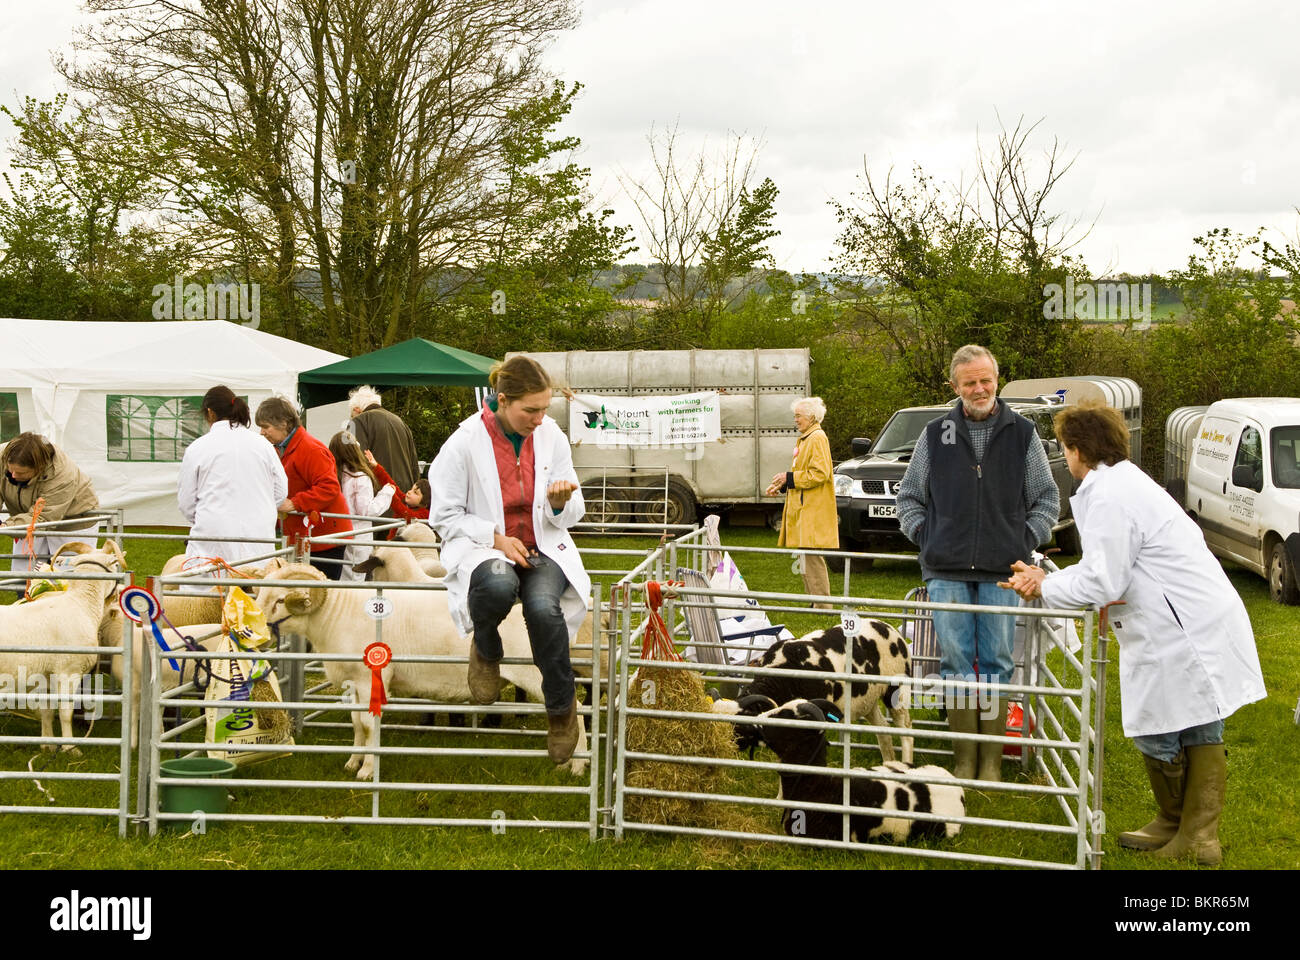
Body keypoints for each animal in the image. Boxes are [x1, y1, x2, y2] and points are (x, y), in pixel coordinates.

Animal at [0, 538, 126, 749]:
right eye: (116, 565)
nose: (117, 594)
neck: (81, 604)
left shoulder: (46, 676)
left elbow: (47, 711)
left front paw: (47, 746)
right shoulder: (69, 671)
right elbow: (65, 712)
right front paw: (70, 748)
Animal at [252, 561, 595, 780]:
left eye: (281, 600)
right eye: (261, 595)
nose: (255, 633)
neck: (336, 614)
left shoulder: (371, 677)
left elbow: (369, 724)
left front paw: (367, 771)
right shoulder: (355, 683)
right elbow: (357, 724)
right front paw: (352, 762)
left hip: (536, 673)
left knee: (575, 710)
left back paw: (575, 768)